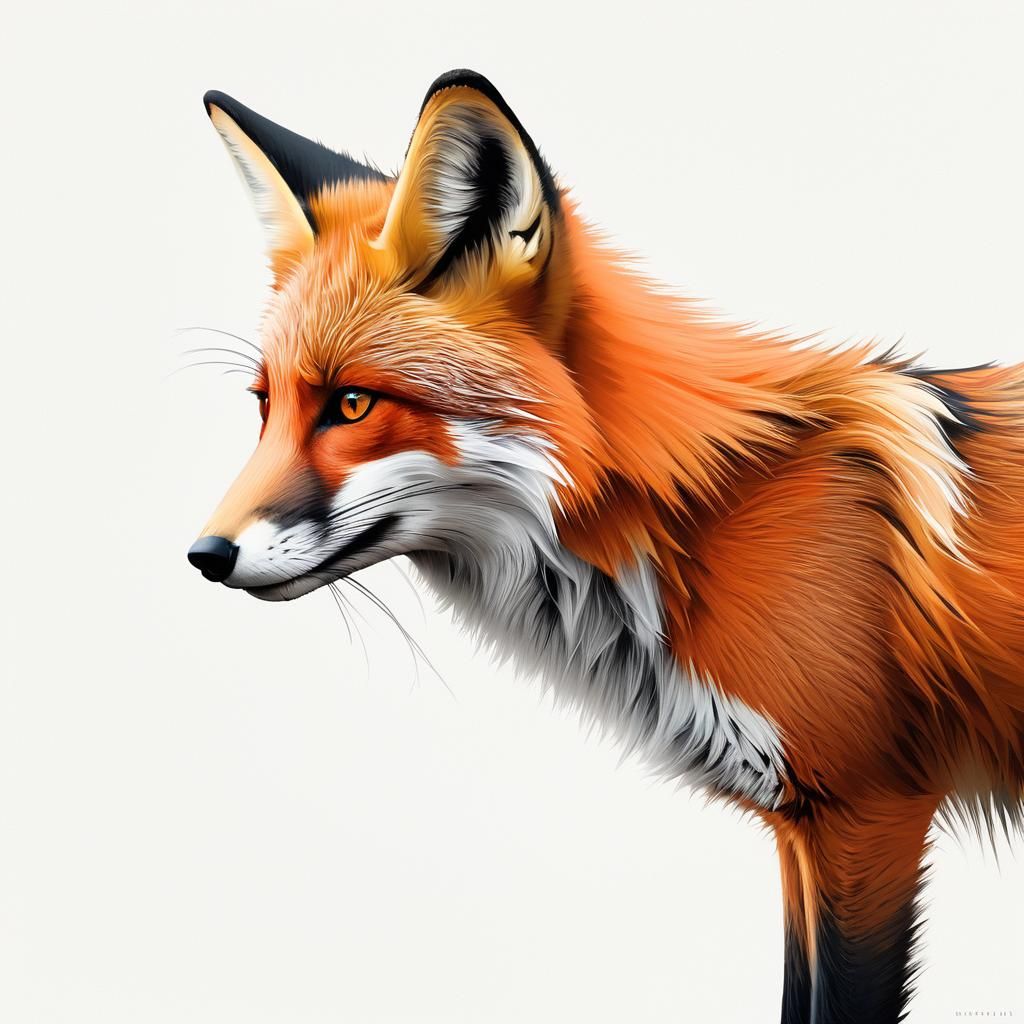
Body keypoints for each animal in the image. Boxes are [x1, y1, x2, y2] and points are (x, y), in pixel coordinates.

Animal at [188, 70, 1024, 1023]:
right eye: (266, 405)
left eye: (352, 405)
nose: (204, 555)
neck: (703, 519)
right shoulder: (803, 827)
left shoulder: (868, 813)